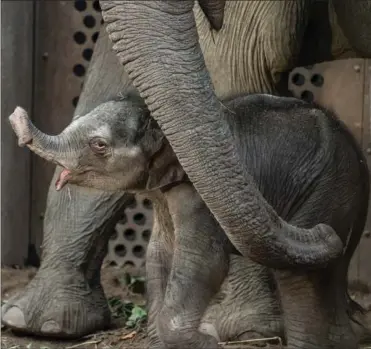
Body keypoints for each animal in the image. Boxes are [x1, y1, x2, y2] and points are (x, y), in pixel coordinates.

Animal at [2, 0, 371, 342]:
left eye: (99, 145)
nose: (17, 116)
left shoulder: (198, 202)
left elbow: (203, 261)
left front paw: (210, 337)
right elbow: (158, 255)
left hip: (327, 188)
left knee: (303, 278)